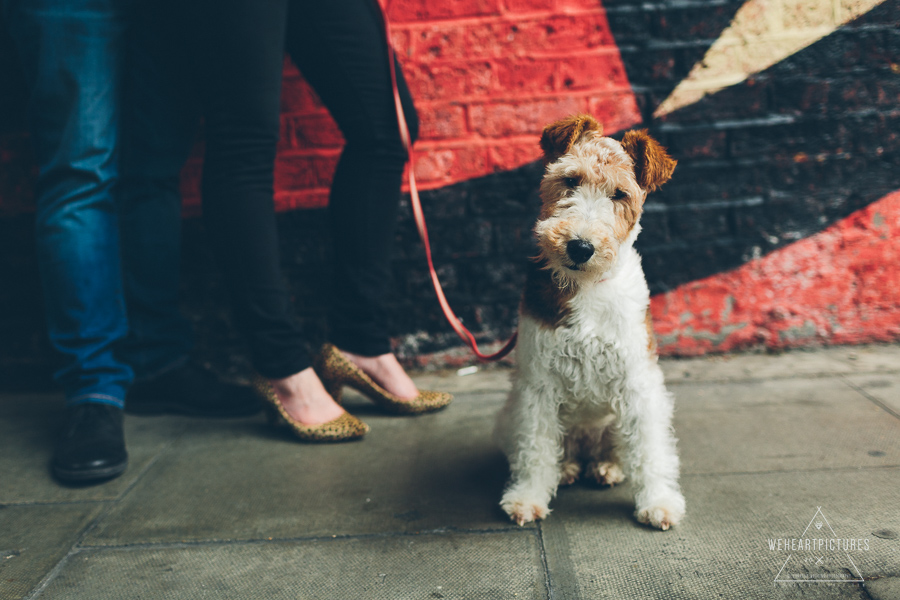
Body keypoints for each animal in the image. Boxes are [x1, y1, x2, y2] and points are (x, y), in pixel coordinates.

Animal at [492, 116, 684, 528]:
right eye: (570, 180)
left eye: (620, 194)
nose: (580, 247)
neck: (586, 286)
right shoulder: (538, 386)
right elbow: (535, 447)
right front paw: (528, 497)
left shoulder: (638, 382)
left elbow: (650, 451)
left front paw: (659, 502)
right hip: (512, 414)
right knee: (552, 450)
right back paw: (565, 470)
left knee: (617, 450)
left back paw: (607, 468)